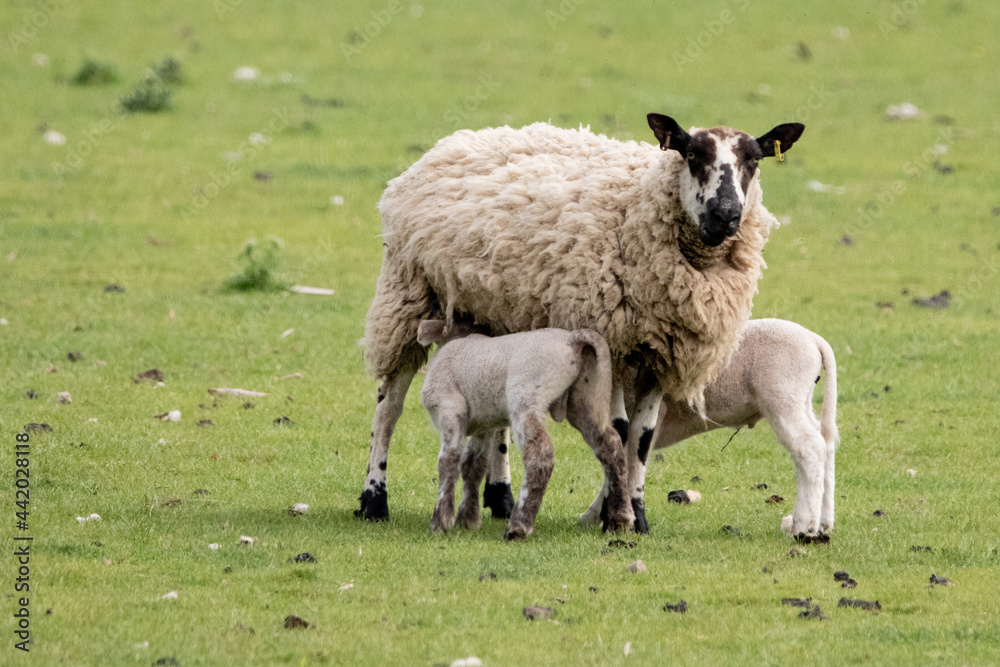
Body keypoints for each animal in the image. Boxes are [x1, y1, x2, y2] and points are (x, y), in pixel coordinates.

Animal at [416, 320, 633, 539]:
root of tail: (572, 339)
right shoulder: (485, 425)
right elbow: (473, 465)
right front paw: (468, 519)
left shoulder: (450, 409)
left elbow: (448, 462)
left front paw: (440, 523)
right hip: (585, 397)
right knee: (611, 447)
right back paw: (621, 519)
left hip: (526, 397)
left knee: (540, 454)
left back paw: (519, 526)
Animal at [579, 318, 839, 540]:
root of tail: (813, 339)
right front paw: (596, 516)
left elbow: (624, 463)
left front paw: (603, 516)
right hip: (801, 401)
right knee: (826, 445)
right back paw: (823, 524)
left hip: (783, 397)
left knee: (810, 449)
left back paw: (803, 526)